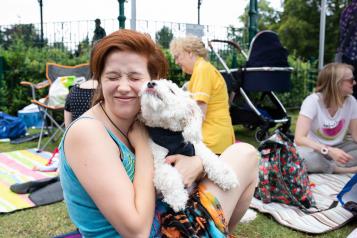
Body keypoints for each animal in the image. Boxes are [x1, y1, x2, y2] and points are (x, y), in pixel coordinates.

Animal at [138, 79, 238, 211]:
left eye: (171, 90)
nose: (150, 83)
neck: (170, 135)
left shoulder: (196, 147)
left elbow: (212, 159)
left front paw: (227, 177)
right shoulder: (160, 161)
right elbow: (168, 176)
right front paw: (177, 198)